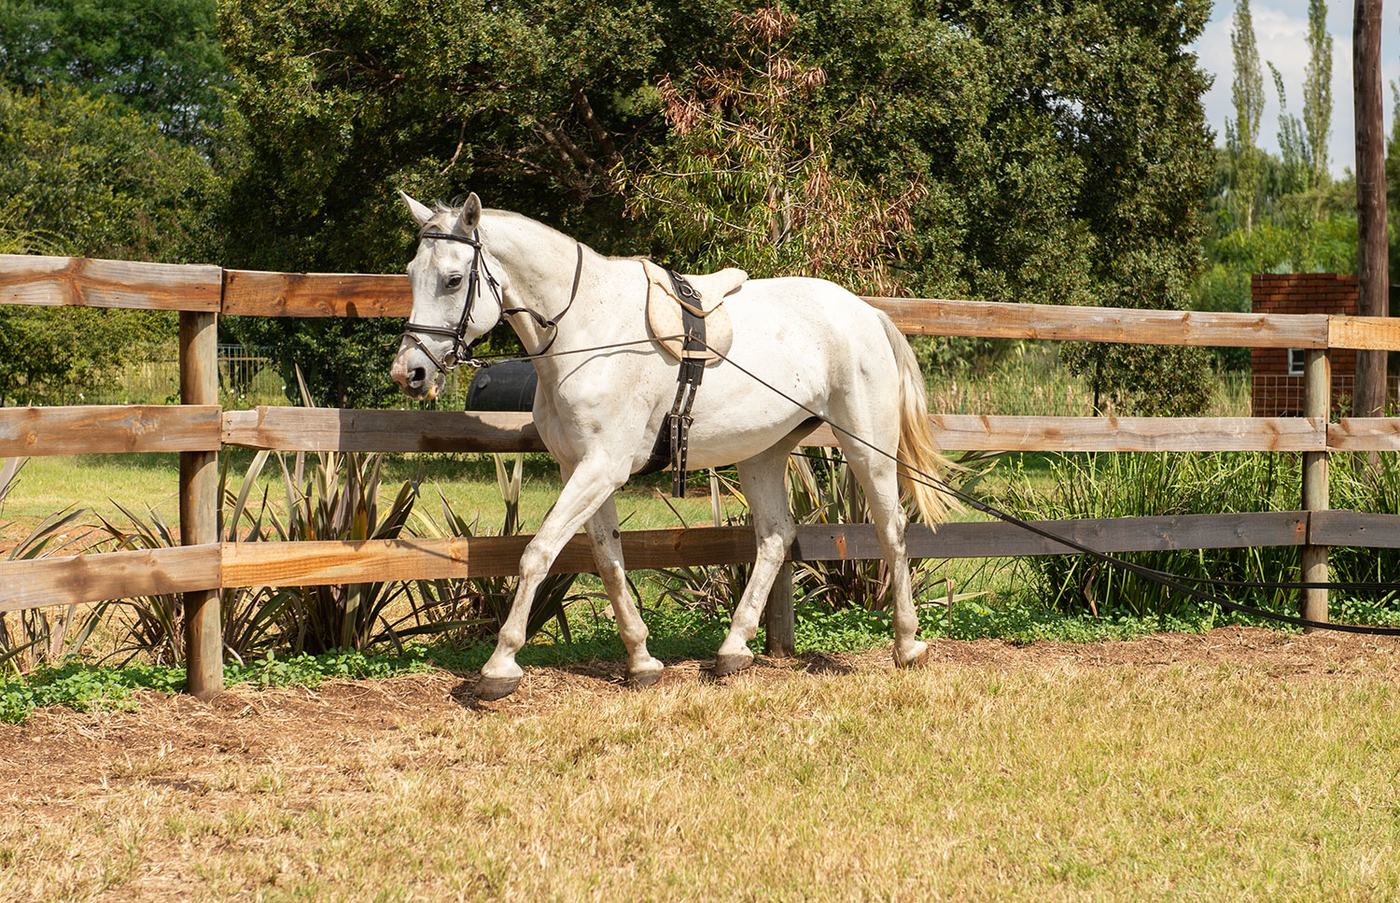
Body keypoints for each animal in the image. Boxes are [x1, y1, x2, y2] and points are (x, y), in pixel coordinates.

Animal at [390, 192, 956, 699]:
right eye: (412, 273)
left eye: (453, 279)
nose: (409, 372)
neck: (587, 329)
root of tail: (865, 313)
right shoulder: (582, 468)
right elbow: (608, 559)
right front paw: (642, 660)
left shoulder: (601, 468)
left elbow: (538, 552)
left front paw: (500, 667)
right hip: (763, 453)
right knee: (775, 537)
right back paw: (733, 650)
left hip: (866, 447)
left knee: (890, 528)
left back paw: (907, 645)